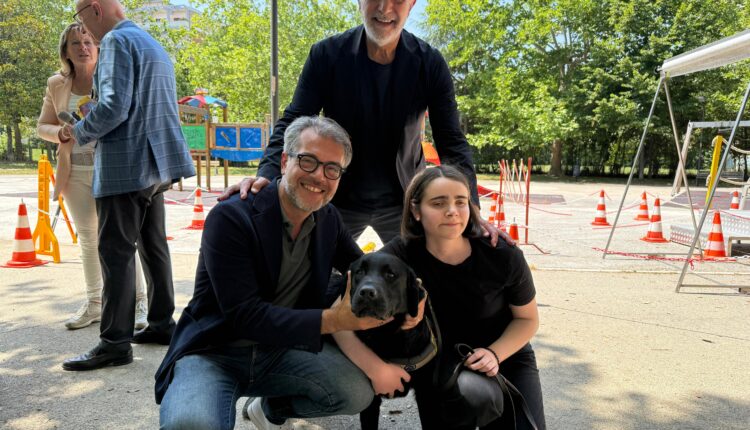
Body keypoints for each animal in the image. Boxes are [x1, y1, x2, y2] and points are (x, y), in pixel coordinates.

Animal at [348, 252, 436, 430]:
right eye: (359, 271)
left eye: (390, 275)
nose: (366, 292)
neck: (388, 336)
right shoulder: (371, 400)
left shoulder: (426, 391)